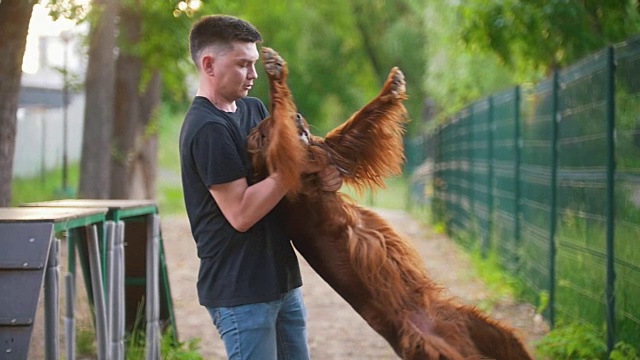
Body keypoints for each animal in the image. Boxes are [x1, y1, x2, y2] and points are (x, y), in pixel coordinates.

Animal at [248, 47, 532, 360]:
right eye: (268, 123)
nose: (298, 116)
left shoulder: (330, 150)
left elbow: (355, 124)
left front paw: (392, 87)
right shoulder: (289, 162)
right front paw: (275, 72)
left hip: (494, 332)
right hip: (436, 351)